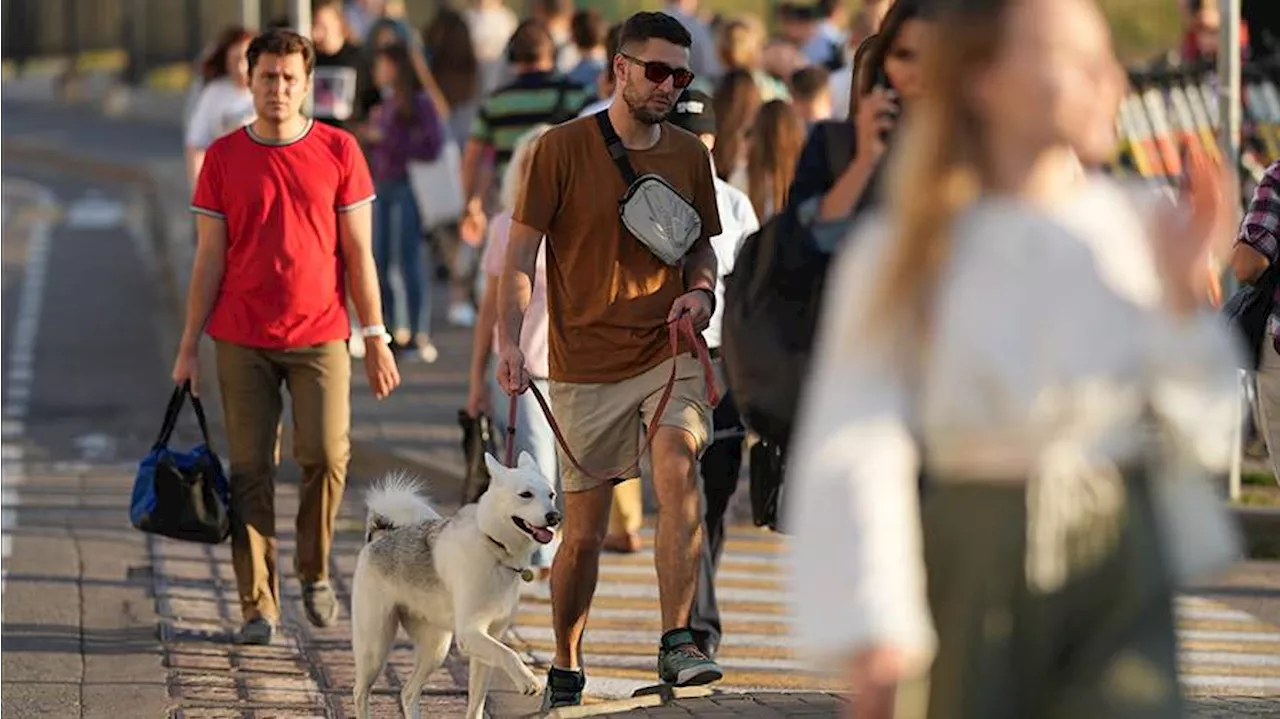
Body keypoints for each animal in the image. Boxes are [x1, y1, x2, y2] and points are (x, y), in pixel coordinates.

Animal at [350, 450, 560, 711]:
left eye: (551, 495)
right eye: (525, 495)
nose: (555, 516)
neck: (494, 548)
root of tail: (379, 537)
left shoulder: (490, 639)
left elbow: (478, 701)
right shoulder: (470, 633)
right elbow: (509, 654)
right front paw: (528, 680)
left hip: (436, 648)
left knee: (409, 692)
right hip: (375, 646)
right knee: (360, 692)